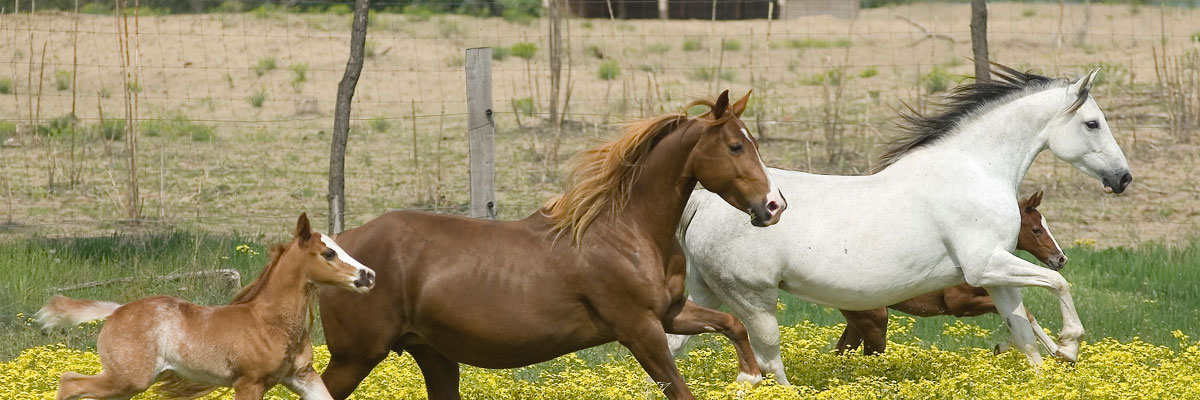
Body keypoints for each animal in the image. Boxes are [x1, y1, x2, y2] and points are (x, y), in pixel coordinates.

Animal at [36, 213, 376, 400]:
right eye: (328, 254)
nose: (369, 275)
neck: (269, 323)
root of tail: (117, 310)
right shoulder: (249, 383)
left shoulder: (302, 377)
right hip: (129, 378)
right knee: (68, 382)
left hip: (126, 386)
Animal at [316, 91, 786, 400]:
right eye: (735, 146)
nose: (774, 205)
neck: (626, 231)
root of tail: (338, 246)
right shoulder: (639, 329)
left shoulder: (670, 313)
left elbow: (732, 323)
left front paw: (749, 378)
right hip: (355, 357)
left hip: (433, 354)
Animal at [836, 191, 1067, 356]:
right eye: (1037, 229)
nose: (1061, 258)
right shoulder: (960, 305)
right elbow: (1025, 315)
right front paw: (1059, 352)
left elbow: (1023, 315)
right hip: (875, 321)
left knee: (842, 351)